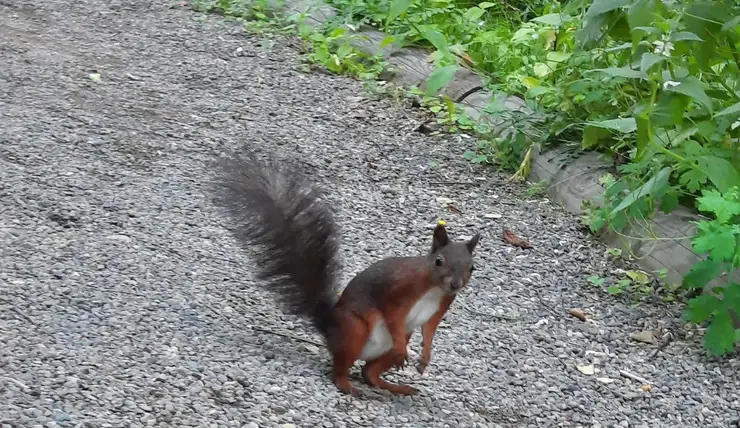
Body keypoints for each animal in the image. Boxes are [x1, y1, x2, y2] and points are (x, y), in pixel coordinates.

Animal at [214, 151, 480, 398]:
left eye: (472, 267)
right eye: (439, 261)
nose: (456, 284)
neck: (433, 288)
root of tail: (329, 326)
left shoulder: (442, 305)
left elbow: (430, 330)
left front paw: (425, 357)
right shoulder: (398, 290)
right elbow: (392, 315)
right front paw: (406, 351)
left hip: (393, 341)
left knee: (369, 372)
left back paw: (395, 386)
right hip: (355, 330)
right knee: (341, 369)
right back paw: (349, 383)